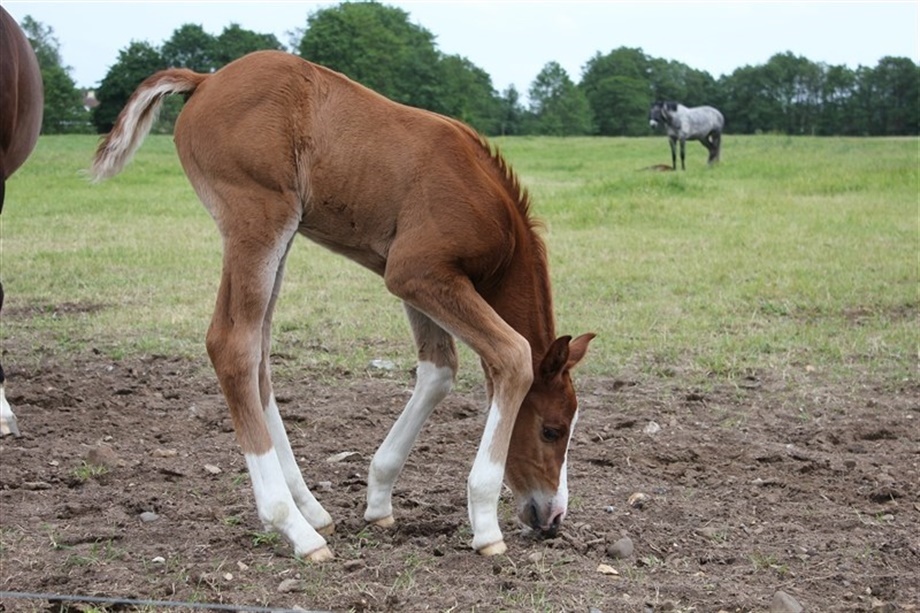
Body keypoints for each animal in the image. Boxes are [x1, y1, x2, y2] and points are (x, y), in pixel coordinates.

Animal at [91, 50, 594, 561]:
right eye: (551, 429)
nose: (553, 517)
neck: (485, 200)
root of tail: (205, 79)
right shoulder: (419, 271)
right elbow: (512, 355)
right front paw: (486, 526)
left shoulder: (415, 280)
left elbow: (438, 370)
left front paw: (379, 501)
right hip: (257, 218)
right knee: (232, 344)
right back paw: (294, 526)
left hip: (281, 236)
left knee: (259, 352)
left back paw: (312, 510)